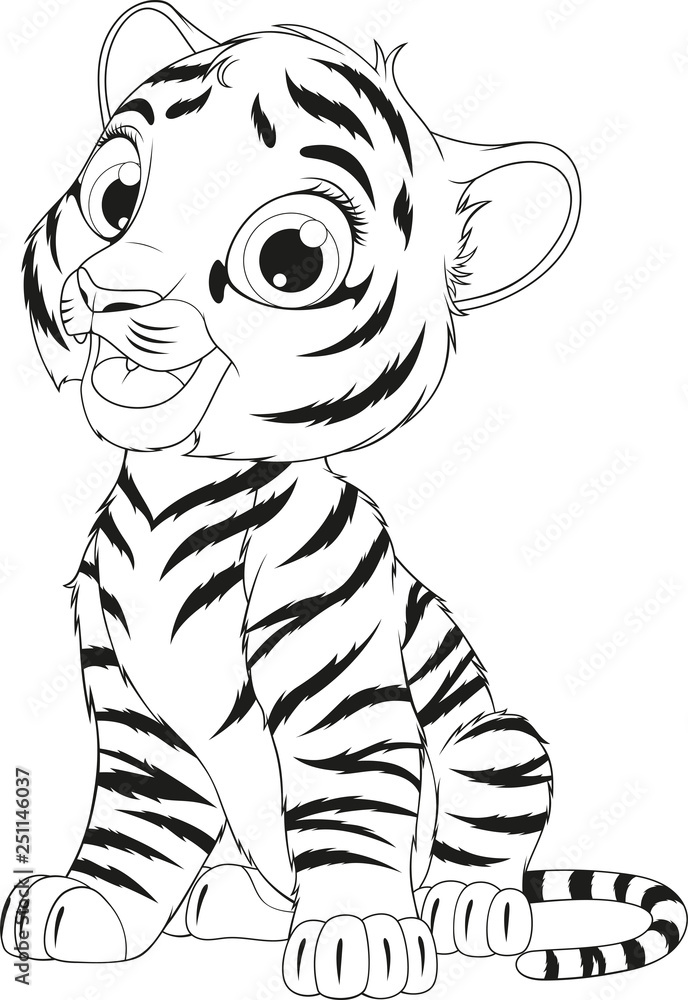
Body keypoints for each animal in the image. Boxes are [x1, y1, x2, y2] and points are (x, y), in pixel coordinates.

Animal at [2, 4, 685, 997]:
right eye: (118, 197)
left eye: (291, 259)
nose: (113, 289)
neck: (175, 492)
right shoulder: (134, 702)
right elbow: (139, 816)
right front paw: (87, 902)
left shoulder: (337, 682)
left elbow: (349, 800)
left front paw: (357, 931)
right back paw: (231, 902)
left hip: (498, 737)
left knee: (484, 841)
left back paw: (464, 906)